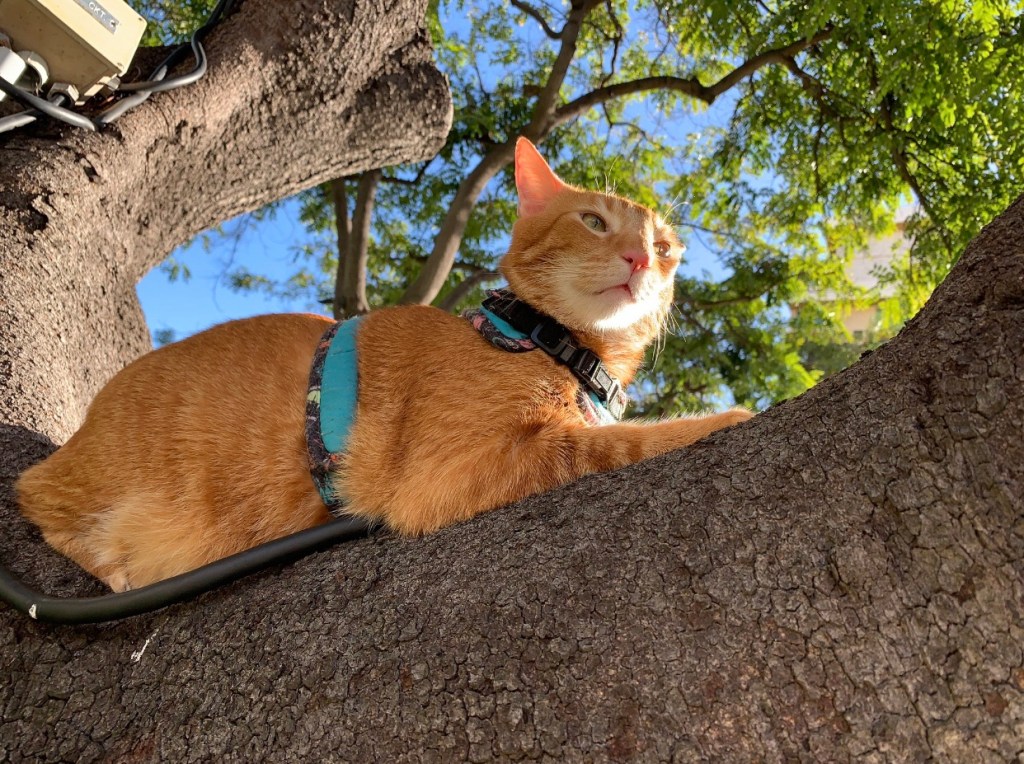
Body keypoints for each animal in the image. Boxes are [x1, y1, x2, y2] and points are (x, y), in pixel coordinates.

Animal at [16, 138, 754, 592]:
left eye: (664, 248)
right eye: (595, 222)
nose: (641, 258)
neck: (553, 345)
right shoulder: (454, 471)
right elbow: (623, 442)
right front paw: (734, 414)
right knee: (35, 499)